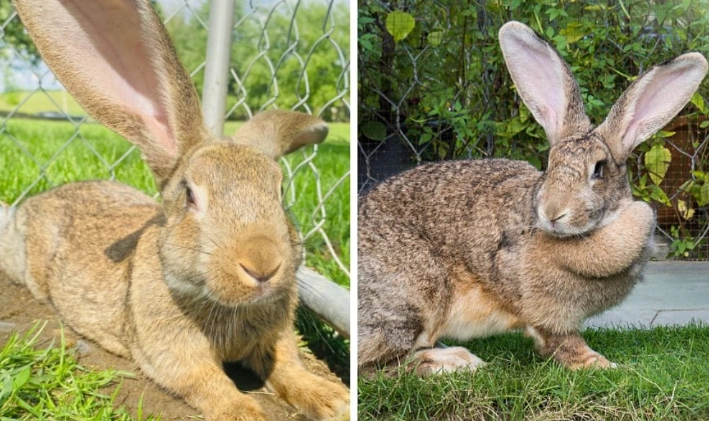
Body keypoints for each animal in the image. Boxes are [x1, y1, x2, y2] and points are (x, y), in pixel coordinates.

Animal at [1, 0, 349, 420]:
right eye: (190, 195)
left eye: (279, 191)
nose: (263, 264)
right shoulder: (177, 355)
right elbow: (208, 382)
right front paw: (245, 412)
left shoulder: (275, 337)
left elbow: (288, 366)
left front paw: (333, 398)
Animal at [358, 21, 708, 375]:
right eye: (549, 165)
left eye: (599, 170)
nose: (552, 212)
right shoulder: (546, 310)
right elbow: (561, 341)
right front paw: (601, 365)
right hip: (413, 299)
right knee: (376, 366)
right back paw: (453, 361)